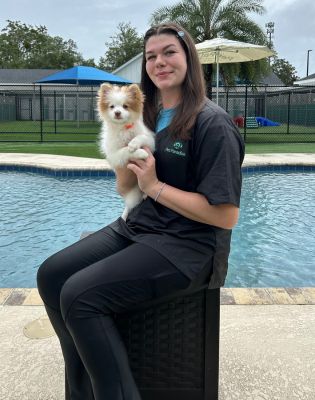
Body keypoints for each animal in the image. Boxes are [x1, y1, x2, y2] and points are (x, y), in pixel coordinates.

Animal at [97, 83, 155, 219]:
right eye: (112, 106)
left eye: (125, 106)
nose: (117, 112)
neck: (123, 128)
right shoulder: (114, 155)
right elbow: (125, 150)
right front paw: (140, 152)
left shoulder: (150, 140)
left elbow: (140, 137)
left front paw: (133, 144)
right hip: (134, 196)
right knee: (129, 206)